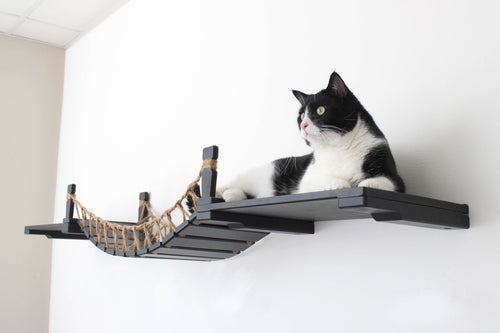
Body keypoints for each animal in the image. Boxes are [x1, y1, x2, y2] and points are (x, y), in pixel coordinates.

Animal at [217, 71, 404, 201]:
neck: (340, 147)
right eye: (301, 116)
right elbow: (321, 179)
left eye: (320, 110)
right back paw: (222, 192)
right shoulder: (306, 182)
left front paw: (366, 182)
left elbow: (386, 181)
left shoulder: (394, 176)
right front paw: (339, 183)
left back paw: (232, 195)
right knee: (231, 183)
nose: (303, 125)